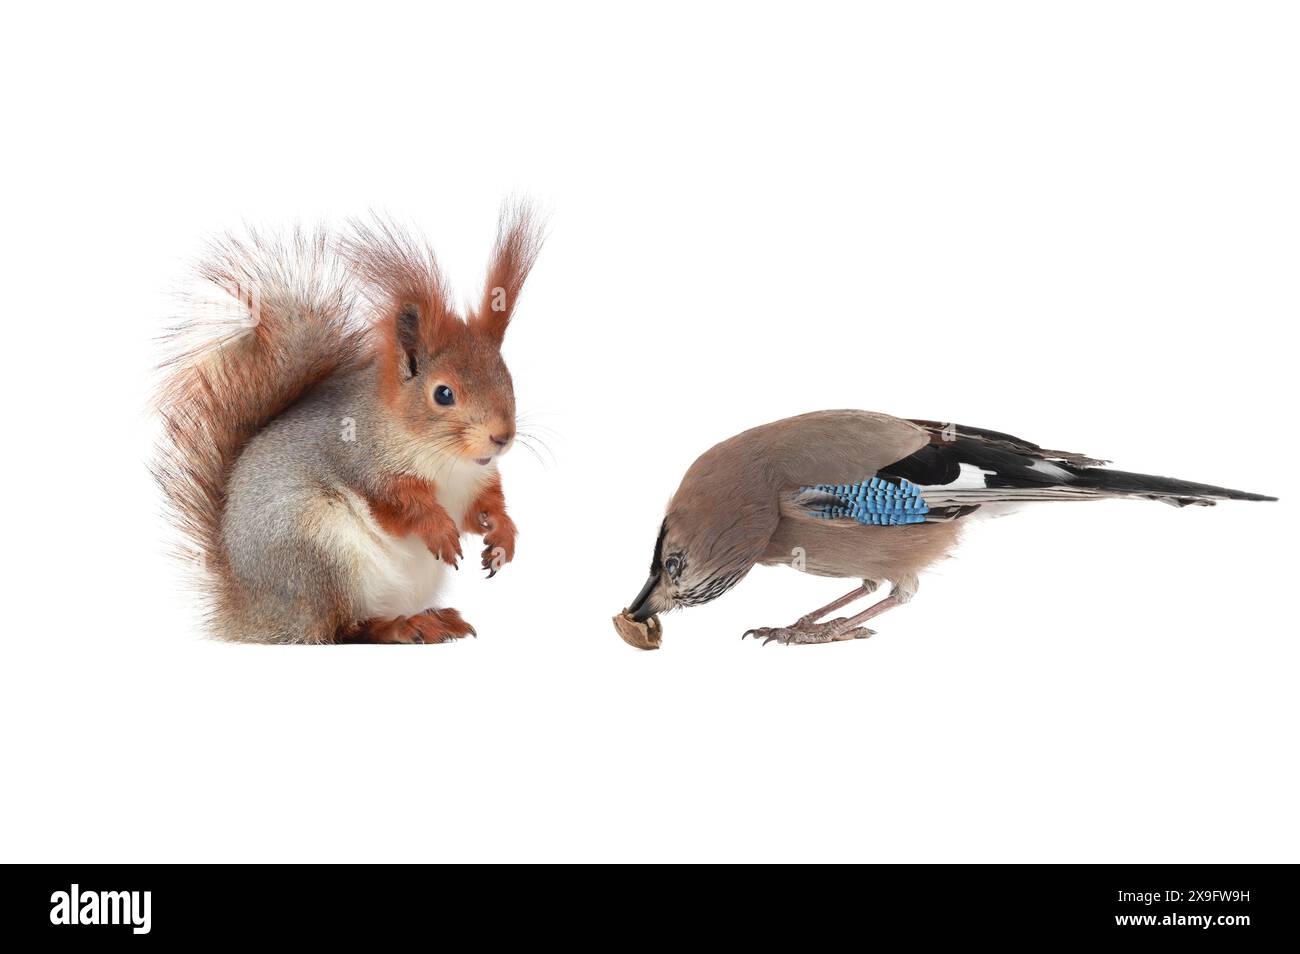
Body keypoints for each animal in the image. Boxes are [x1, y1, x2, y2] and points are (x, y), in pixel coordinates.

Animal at [155, 205, 544, 644]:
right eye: (443, 394)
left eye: (506, 377)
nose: (502, 437)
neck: (447, 461)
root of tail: (248, 613)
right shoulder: (361, 461)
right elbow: (402, 504)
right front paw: (439, 529)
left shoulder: (476, 483)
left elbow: (484, 507)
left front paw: (502, 536)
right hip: (319, 555)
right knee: (343, 629)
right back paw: (404, 627)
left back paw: (437, 619)